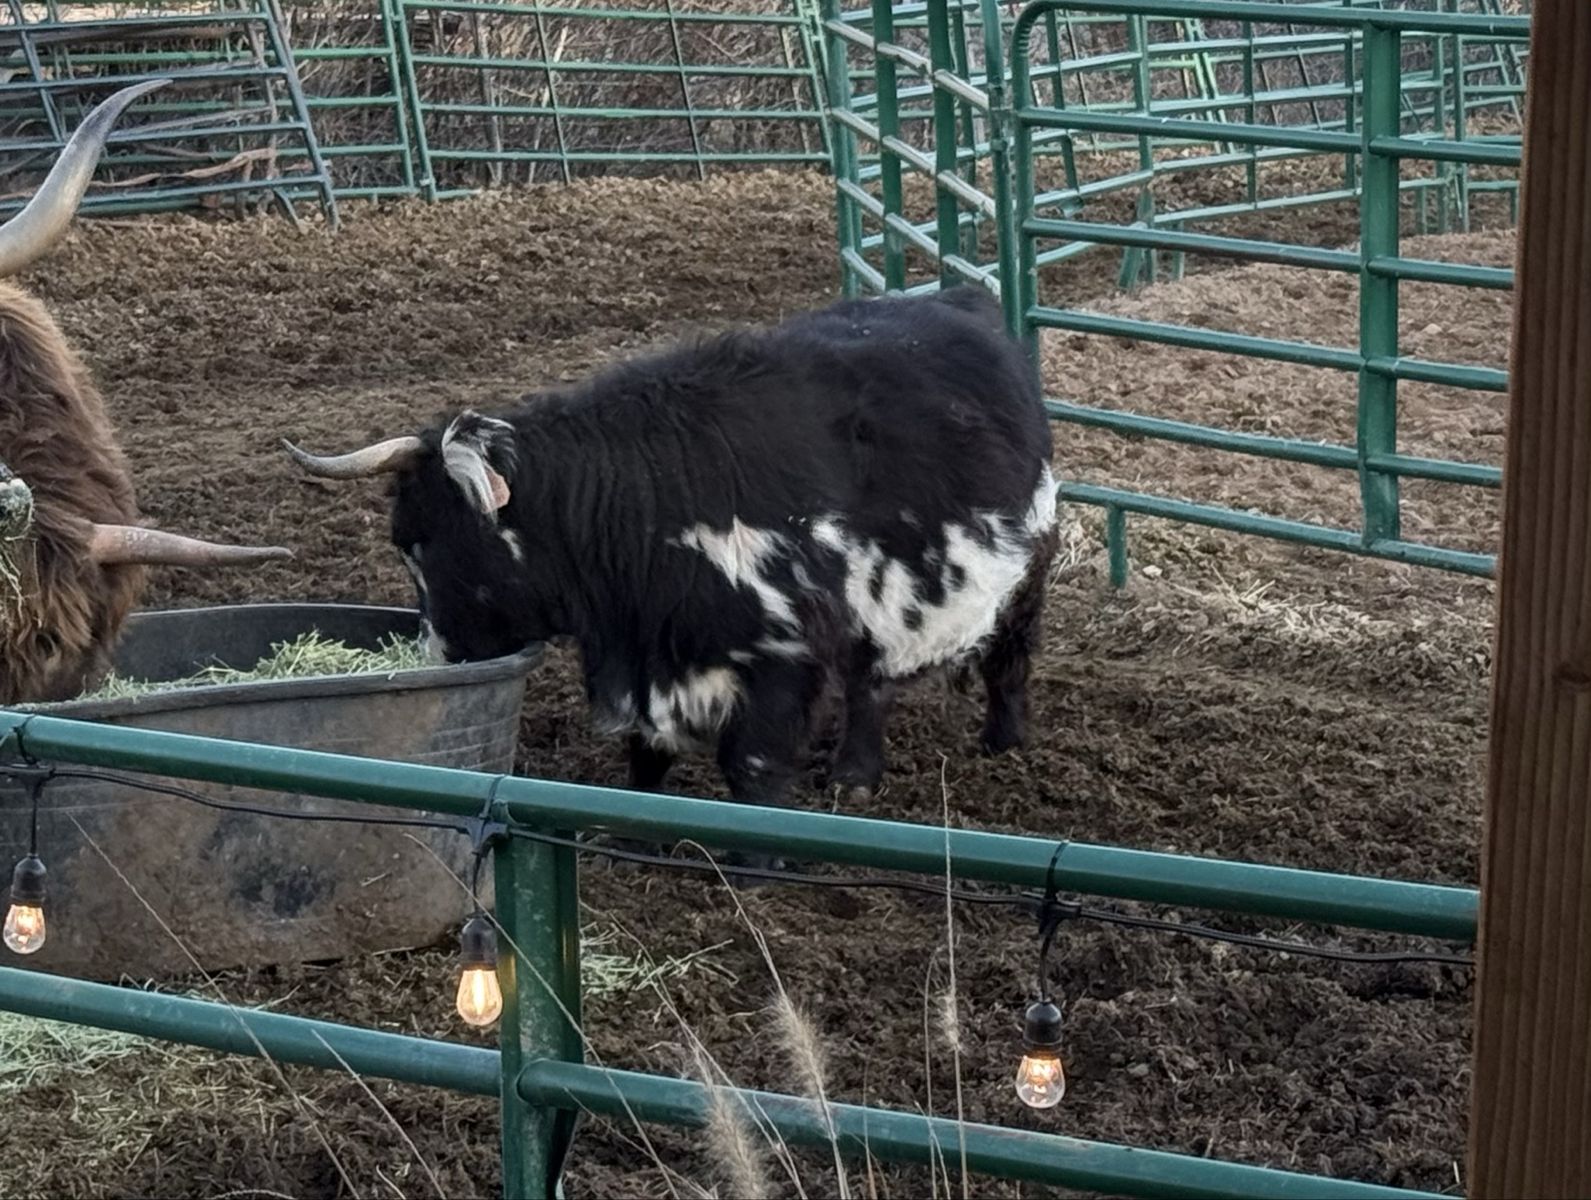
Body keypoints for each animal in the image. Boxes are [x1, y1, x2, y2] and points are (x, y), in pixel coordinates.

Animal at [284, 285, 1057, 857]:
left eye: (422, 543)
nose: (438, 653)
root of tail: (959, 301)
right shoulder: (646, 658)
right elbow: (645, 757)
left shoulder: (780, 656)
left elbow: (751, 767)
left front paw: (755, 862)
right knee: (873, 679)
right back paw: (855, 775)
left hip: (1027, 571)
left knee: (1004, 658)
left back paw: (1000, 741)